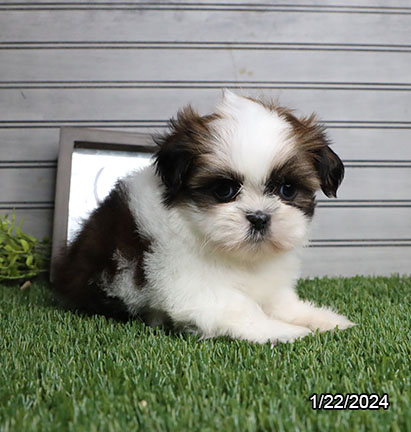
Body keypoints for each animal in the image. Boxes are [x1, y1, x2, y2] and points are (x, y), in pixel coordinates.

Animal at [53, 92, 356, 344]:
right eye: (224, 190)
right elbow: (240, 308)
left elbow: (281, 303)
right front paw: (283, 331)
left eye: (287, 189)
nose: (259, 217)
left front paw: (320, 319)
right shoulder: (194, 288)